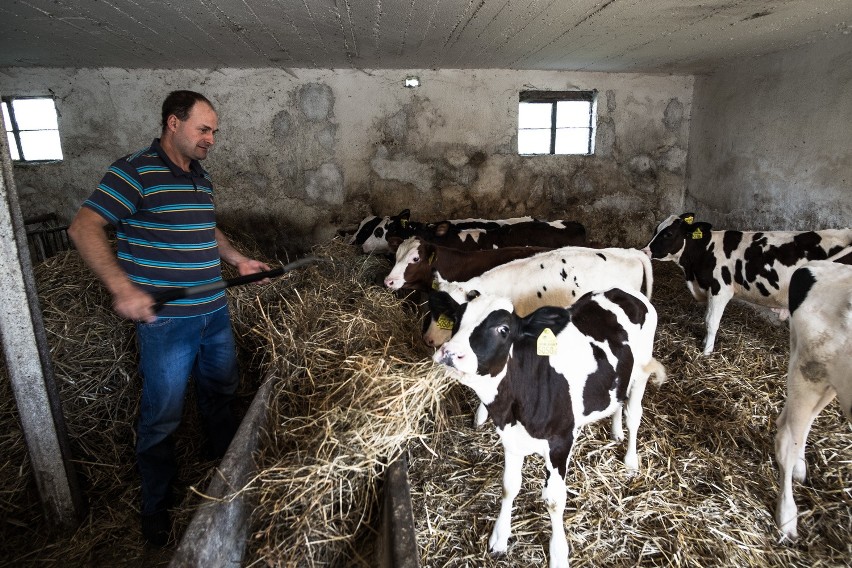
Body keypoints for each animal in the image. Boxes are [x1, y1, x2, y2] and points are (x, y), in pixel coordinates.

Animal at [432, 288, 664, 568]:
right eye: (456, 318)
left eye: (503, 329)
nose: (450, 352)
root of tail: (622, 291)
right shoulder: (511, 439)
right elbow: (509, 485)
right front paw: (500, 537)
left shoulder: (560, 442)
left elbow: (554, 500)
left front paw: (558, 554)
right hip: (619, 378)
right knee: (618, 401)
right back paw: (616, 432)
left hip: (642, 371)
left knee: (633, 414)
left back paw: (630, 459)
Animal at [644, 213, 848, 356]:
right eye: (656, 229)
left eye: (668, 233)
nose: (645, 250)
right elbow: (707, 318)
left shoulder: (721, 289)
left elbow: (711, 322)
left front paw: (706, 352)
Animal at [772, 260, 852, 540]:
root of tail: (812, 266)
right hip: (812, 370)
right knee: (787, 437)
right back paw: (787, 517)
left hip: (830, 379)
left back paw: (799, 467)